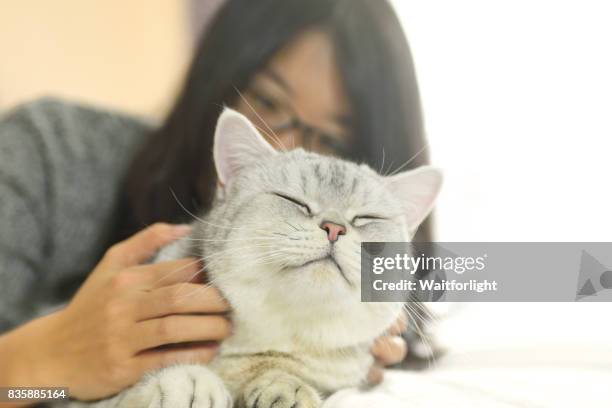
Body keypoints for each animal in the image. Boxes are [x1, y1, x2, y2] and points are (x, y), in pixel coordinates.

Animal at [74, 108, 442, 408]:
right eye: (294, 201)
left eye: (366, 218)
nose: (334, 227)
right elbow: (126, 393)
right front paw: (187, 381)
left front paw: (284, 388)